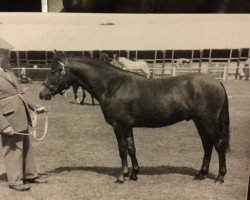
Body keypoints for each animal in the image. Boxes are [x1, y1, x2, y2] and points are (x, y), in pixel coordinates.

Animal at [39, 52, 230, 184]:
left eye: (54, 71)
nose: (42, 93)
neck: (113, 86)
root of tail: (217, 82)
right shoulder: (128, 126)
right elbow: (132, 148)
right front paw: (134, 174)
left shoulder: (118, 126)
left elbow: (122, 150)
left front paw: (121, 176)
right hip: (200, 122)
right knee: (207, 145)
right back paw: (200, 174)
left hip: (208, 122)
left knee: (219, 144)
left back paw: (220, 177)